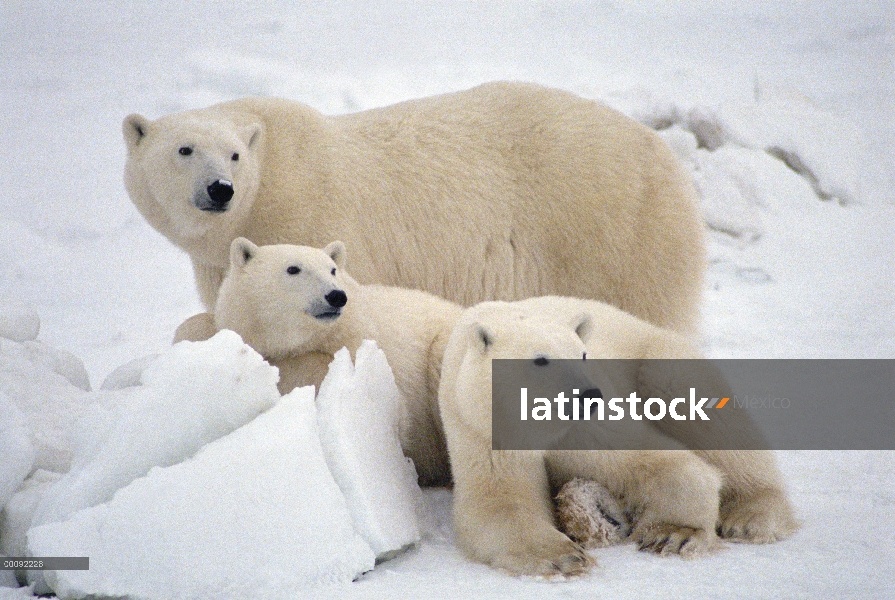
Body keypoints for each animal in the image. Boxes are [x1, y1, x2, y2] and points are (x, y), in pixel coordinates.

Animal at [122, 81, 708, 330]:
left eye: (235, 154)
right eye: (184, 149)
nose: (220, 188)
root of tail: (664, 155)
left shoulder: (314, 212)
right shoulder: (215, 261)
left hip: (608, 235)